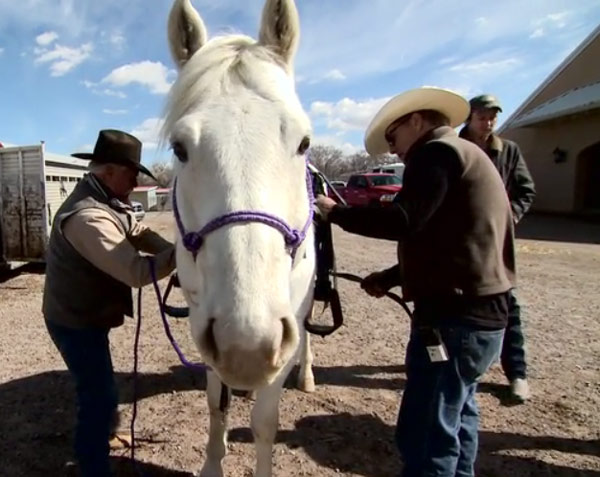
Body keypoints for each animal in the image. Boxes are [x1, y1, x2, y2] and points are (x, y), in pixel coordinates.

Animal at [162, 1, 316, 474]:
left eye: (304, 142)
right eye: (179, 148)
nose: (247, 345)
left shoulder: (285, 326)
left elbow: (265, 422)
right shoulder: (205, 322)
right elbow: (217, 405)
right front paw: (214, 461)